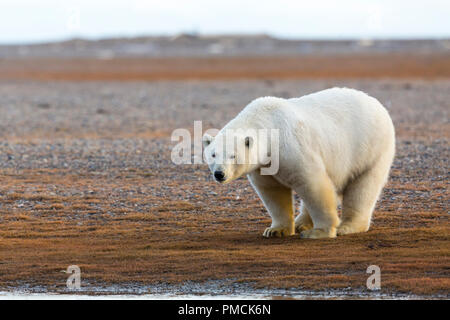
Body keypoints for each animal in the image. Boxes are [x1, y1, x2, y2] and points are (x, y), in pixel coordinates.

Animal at [202, 87, 396, 238]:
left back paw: (347, 227)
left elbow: (312, 184)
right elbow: (273, 192)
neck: (266, 122)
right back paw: (301, 223)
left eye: (233, 156)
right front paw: (275, 230)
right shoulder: (264, 165)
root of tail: (377, 104)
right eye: (213, 155)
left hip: (370, 149)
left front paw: (320, 232)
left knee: (363, 188)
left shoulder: (290, 147)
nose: (219, 174)